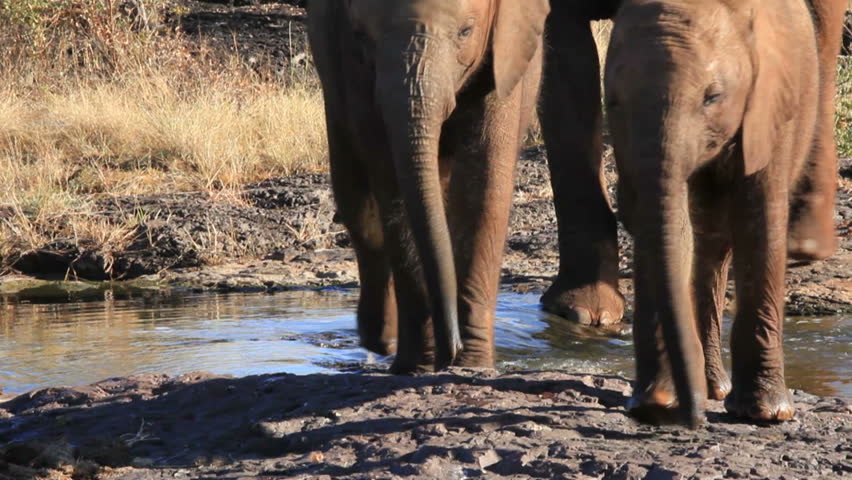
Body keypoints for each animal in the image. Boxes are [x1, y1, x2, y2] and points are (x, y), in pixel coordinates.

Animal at [307, 0, 549, 372]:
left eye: (466, 32)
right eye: (362, 37)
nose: (451, 351)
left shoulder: (505, 57)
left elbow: (484, 184)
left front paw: (473, 366)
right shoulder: (354, 72)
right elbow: (393, 186)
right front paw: (417, 367)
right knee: (359, 210)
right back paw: (382, 340)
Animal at [603, 0, 832, 426]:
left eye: (713, 97)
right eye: (614, 102)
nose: (695, 421)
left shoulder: (769, 106)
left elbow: (759, 218)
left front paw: (766, 413)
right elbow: (671, 228)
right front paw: (657, 403)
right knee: (706, 239)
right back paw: (707, 388)